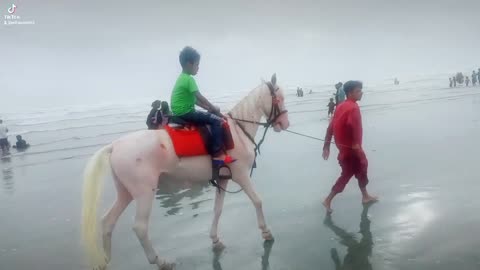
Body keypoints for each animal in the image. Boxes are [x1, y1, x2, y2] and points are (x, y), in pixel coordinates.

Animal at [80, 74, 288, 270]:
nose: (285, 123)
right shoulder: (241, 176)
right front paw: (266, 232)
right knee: (140, 227)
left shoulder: (223, 179)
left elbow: (218, 209)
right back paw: (160, 261)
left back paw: (106, 260)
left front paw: (215, 239)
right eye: (279, 98)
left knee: (108, 221)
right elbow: (258, 201)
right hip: (144, 192)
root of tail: (115, 146)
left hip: (126, 192)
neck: (237, 131)